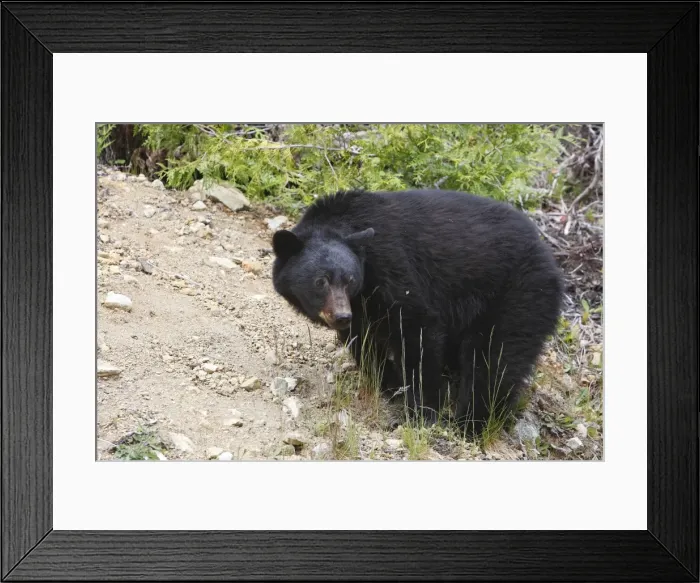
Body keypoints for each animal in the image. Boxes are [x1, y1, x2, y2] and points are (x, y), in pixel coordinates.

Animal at [271, 189, 564, 435]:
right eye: (321, 281)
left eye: (350, 279)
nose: (342, 316)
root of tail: (552, 261)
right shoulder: (363, 308)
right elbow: (364, 343)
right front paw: (390, 382)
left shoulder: (393, 268)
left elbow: (418, 331)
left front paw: (422, 411)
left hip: (518, 293)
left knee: (495, 357)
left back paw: (473, 422)